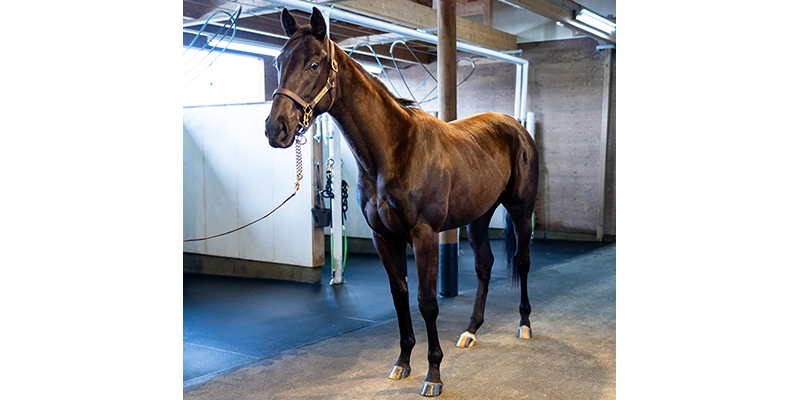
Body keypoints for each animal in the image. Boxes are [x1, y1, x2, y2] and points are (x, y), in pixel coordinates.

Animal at [265, 7, 539, 397]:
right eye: (278, 61)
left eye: (315, 64)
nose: (276, 128)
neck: (394, 150)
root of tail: (516, 126)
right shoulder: (385, 238)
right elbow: (399, 295)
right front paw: (403, 362)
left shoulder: (424, 235)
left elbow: (427, 302)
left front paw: (434, 375)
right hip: (479, 216)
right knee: (484, 264)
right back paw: (471, 330)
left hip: (519, 210)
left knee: (523, 261)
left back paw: (525, 324)